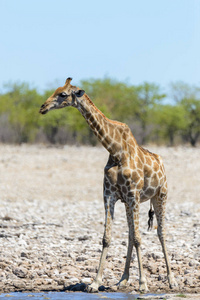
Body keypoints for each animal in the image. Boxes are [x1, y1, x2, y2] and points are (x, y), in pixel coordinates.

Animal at [39, 77, 177, 292]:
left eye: (63, 94)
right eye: (56, 90)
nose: (42, 107)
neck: (116, 150)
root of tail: (161, 163)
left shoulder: (133, 194)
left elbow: (139, 238)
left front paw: (143, 284)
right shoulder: (110, 195)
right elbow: (107, 238)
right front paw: (95, 283)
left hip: (160, 196)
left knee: (160, 232)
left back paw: (171, 280)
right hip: (131, 203)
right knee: (131, 234)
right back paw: (123, 279)